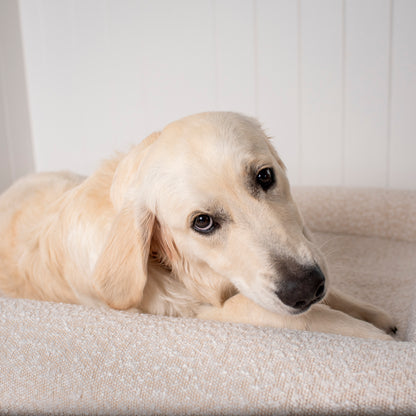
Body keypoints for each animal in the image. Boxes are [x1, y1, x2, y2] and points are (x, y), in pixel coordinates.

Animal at [0, 112, 396, 340]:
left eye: (265, 176)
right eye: (202, 222)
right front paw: (377, 335)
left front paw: (374, 313)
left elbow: (334, 295)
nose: (306, 287)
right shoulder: (199, 313)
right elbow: (292, 317)